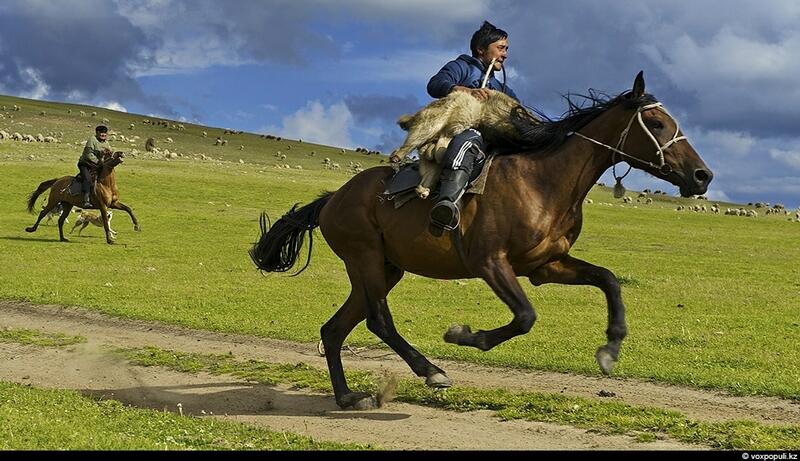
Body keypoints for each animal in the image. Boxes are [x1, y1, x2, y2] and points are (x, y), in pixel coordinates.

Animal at [248, 70, 712, 408]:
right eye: (656, 123)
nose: (702, 176)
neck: (544, 180)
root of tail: (333, 199)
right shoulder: (491, 263)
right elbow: (525, 317)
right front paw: (465, 336)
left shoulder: (546, 266)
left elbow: (609, 281)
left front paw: (610, 348)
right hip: (365, 260)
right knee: (379, 320)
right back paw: (431, 371)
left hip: (384, 269)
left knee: (335, 329)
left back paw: (347, 396)